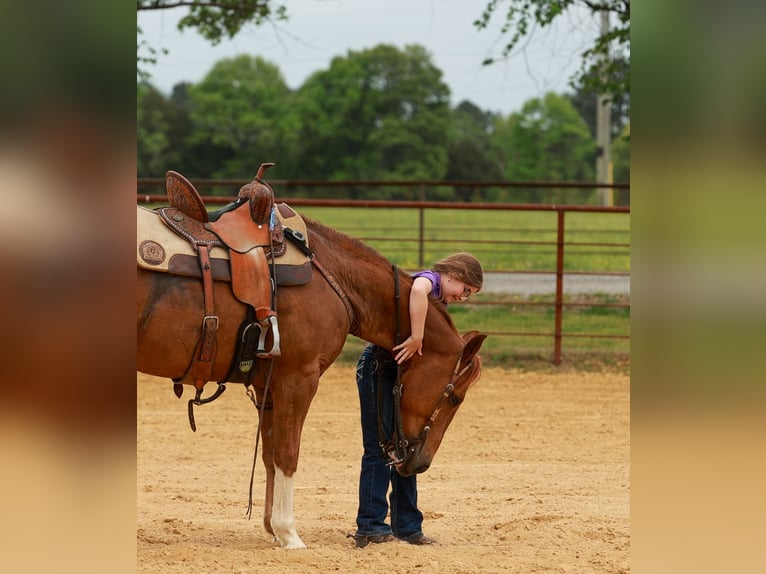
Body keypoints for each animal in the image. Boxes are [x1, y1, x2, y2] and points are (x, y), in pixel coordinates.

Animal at [137, 200, 487, 549]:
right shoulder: (299, 379)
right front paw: (289, 533)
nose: (422, 463)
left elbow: (270, 455)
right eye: (455, 398)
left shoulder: (268, 390)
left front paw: (273, 530)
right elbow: (288, 454)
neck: (332, 276)